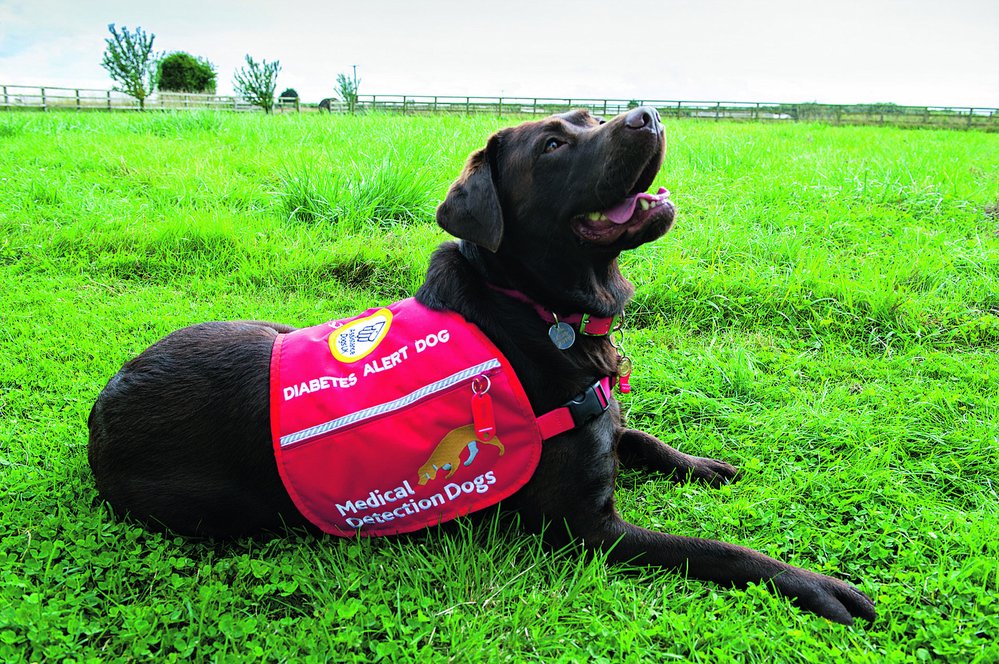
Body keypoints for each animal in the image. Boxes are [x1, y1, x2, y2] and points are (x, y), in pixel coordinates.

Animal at [90, 106, 880, 624]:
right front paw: (810, 582)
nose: (647, 113)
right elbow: (716, 549)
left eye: (591, 117)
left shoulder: (602, 421)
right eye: (555, 143)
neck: (542, 312)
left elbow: (643, 436)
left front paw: (701, 463)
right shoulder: (587, 531)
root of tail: (101, 410)